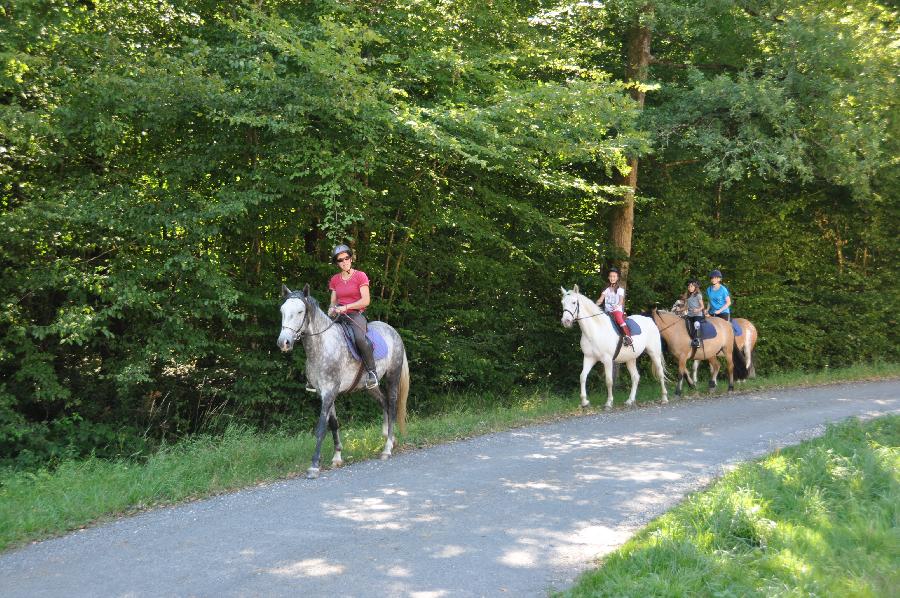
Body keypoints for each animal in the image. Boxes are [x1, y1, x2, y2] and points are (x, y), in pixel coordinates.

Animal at [278, 288, 412, 482]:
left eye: (300, 312)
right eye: (282, 311)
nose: (284, 342)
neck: (322, 345)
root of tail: (393, 331)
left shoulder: (330, 392)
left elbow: (321, 428)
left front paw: (314, 466)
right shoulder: (324, 393)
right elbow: (333, 424)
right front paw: (337, 457)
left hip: (392, 377)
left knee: (392, 405)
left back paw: (387, 449)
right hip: (371, 387)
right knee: (384, 403)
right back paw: (390, 438)